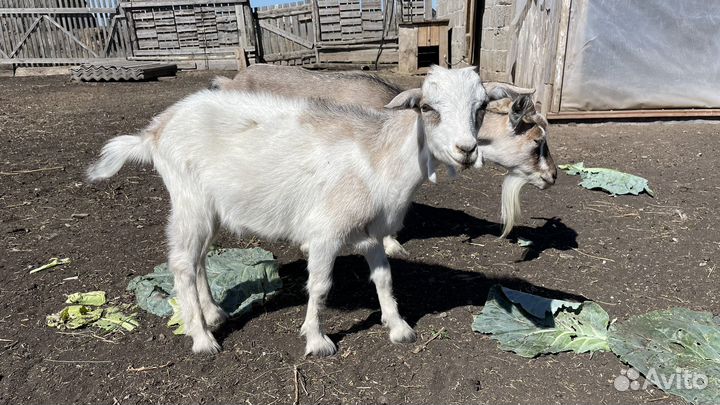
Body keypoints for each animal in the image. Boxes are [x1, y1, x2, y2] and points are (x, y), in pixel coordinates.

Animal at [88, 66, 492, 356]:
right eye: (427, 108)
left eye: (481, 107)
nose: (466, 150)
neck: (379, 158)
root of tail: (154, 132)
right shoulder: (326, 231)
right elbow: (320, 285)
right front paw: (316, 340)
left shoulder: (370, 232)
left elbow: (384, 278)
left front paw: (398, 327)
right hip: (190, 201)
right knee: (182, 264)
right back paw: (202, 338)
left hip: (211, 208)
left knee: (199, 257)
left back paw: (215, 312)